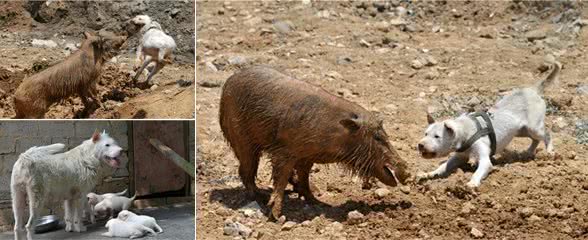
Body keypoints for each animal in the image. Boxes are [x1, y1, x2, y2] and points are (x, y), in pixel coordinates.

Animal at [219, 65, 408, 219]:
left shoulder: (306, 157)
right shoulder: (285, 152)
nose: (407, 170)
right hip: (242, 139)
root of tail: (228, 82)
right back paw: (258, 196)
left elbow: (304, 177)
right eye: (377, 137)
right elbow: (280, 178)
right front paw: (276, 216)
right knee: (245, 170)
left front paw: (318, 202)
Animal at [416, 60, 560, 188]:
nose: (420, 145)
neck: (466, 131)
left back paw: (549, 152)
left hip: (533, 127)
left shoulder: (484, 159)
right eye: (425, 134)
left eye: (437, 136)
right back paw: (528, 152)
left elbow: (479, 170)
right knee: (535, 140)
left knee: (547, 134)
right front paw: (429, 174)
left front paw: (471, 184)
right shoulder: (458, 156)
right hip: (521, 131)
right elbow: (443, 166)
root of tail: (532, 90)